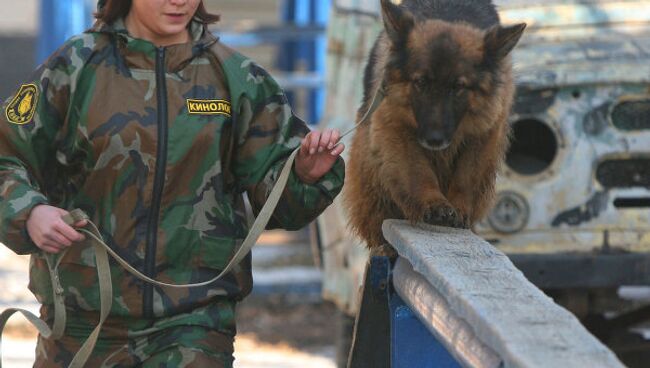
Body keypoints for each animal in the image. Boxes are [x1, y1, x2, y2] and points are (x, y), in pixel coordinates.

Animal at [344, 0, 520, 250]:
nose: (434, 139)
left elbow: (467, 175)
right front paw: (434, 203)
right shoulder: (395, 127)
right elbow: (417, 171)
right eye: (421, 82)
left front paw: (459, 206)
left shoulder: (485, 133)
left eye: (458, 87)